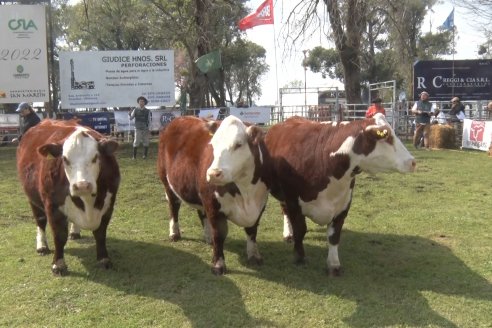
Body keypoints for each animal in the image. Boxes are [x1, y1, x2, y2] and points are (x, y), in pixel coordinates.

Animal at [17, 119, 120, 276]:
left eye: (95, 158)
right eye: (65, 159)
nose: (82, 185)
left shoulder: (108, 205)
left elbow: (100, 233)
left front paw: (103, 259)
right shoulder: (52, 206)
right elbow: (59, 236)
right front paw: (58, 264)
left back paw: (75, 231)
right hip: (32, 199)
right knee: (40, 221)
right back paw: (42, 246)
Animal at [157, 115, 270, 274]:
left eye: (238, 144)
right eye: (213, 144)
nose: (213, 173)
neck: (246, 192)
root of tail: (179, 118)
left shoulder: (260, 205)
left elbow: (252, 231)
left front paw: (254, 256)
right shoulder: (213, 205)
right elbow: (219, 235)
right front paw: (218, 264)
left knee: (201, 213)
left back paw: (207, 237)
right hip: (167, 183)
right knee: (173, 208)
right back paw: (174, 233)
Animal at [264, 114, 418, 276]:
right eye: (387, 136)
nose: (413, 162)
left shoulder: (343, 206)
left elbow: (334, 236)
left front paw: (333, 264)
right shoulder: (293, 201)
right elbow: (300, 231)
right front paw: (299, 257)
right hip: (282, 195)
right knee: (285, 211)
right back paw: (288, 233)